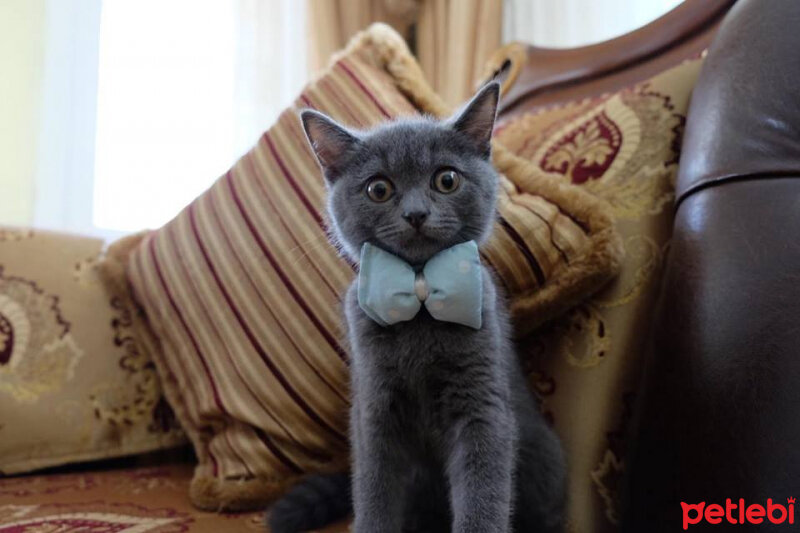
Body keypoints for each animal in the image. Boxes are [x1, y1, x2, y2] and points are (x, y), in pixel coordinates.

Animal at [266, 83, 564, 532]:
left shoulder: (482, 404)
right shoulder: (375, 408)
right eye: (379, 189)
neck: (420, 289)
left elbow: (484, 492)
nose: (416, 213)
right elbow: (374, 491)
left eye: (446, 179)